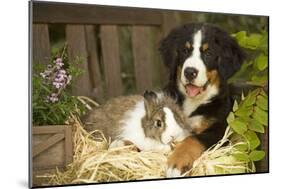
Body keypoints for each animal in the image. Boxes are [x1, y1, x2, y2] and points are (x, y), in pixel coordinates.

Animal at [159, 22, 244, 176]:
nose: (190, 72)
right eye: (185, 51)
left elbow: (193, 139)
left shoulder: (219, 130)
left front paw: (177, 163)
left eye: (208, 53)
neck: (192, 102)